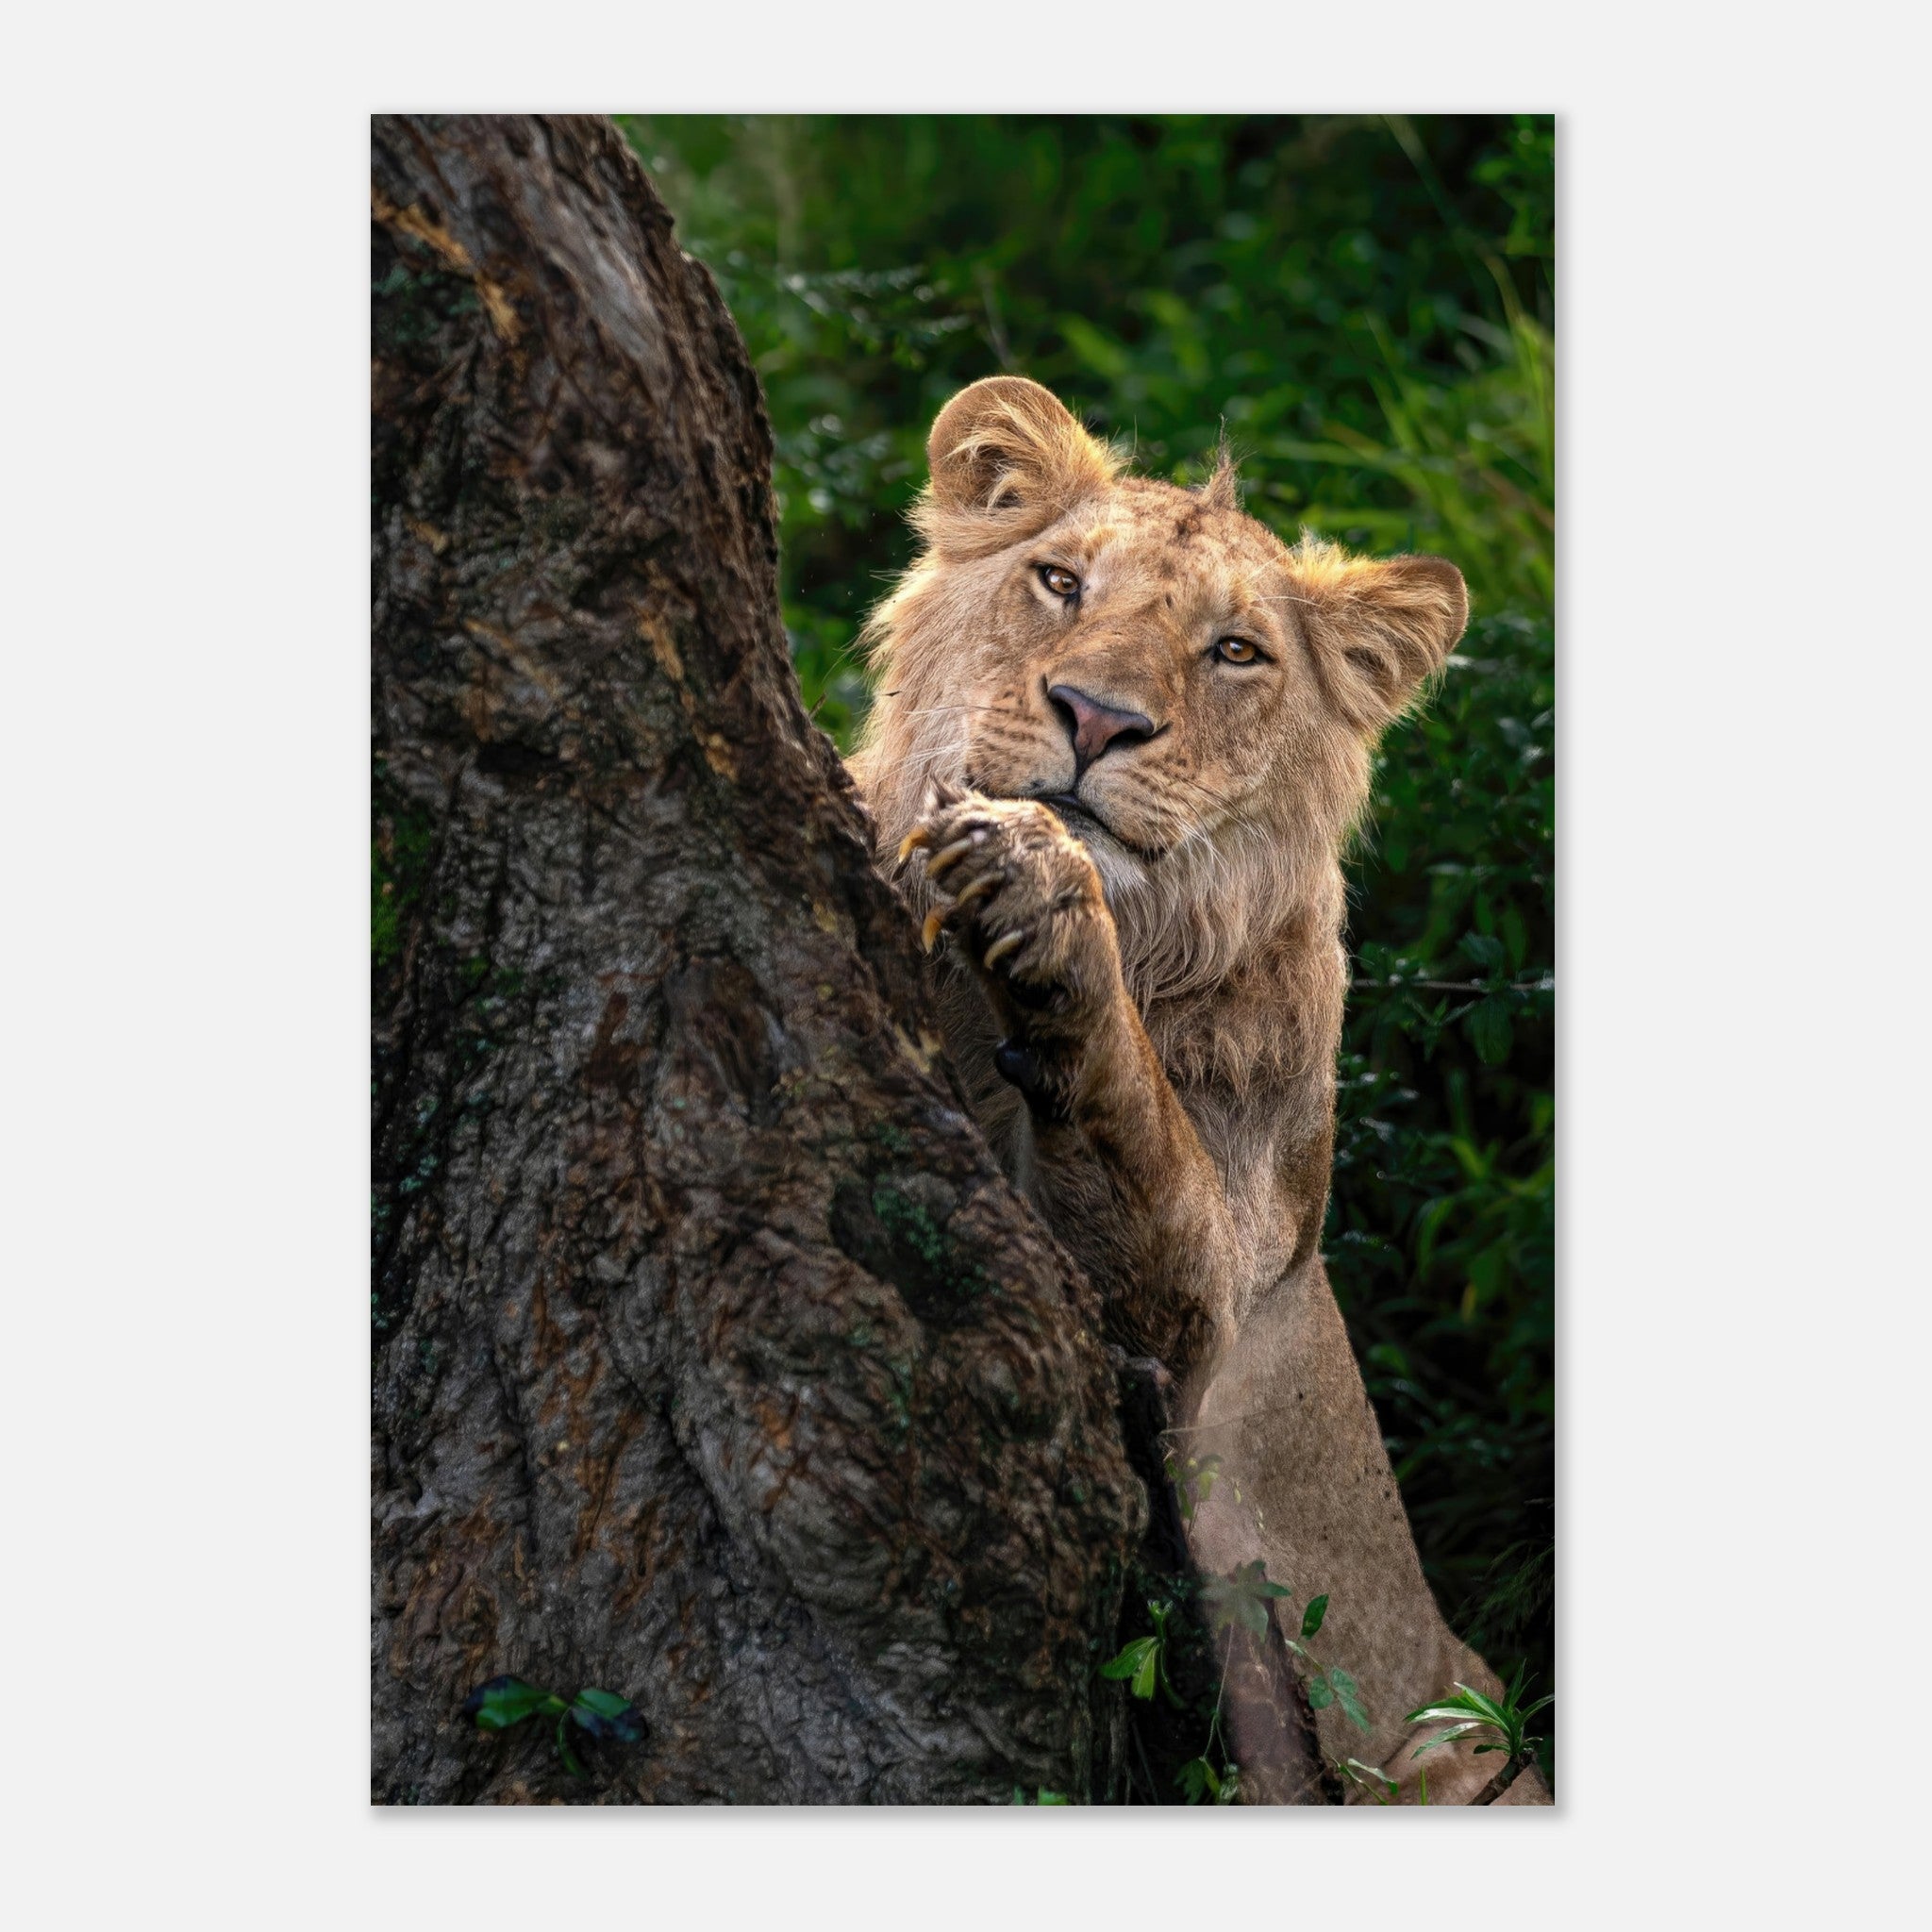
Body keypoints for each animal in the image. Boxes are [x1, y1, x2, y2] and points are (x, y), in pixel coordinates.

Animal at [846, 376, 1548, 1805]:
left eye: (1234, 653)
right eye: (1059, 580)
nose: (1098, 718)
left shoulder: (1206, 1324)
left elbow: (1140, 1137)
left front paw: (1039, 887)